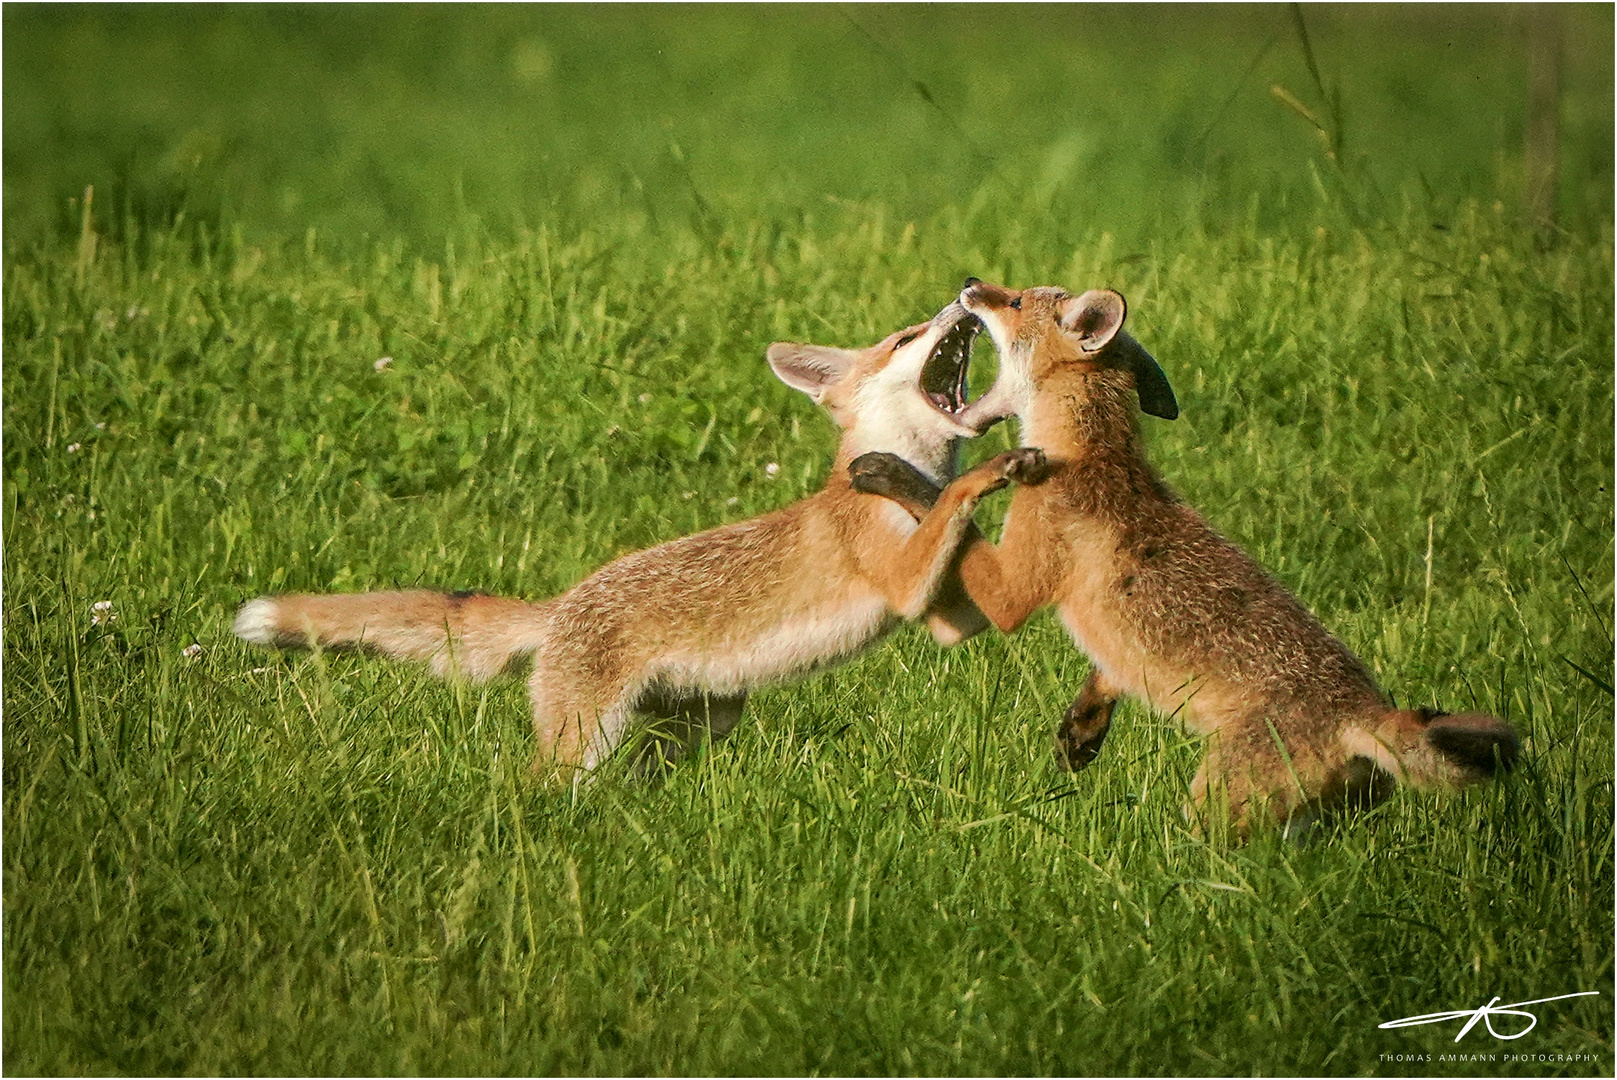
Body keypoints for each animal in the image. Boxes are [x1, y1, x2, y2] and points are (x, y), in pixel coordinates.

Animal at [234, 299, 1041, 779]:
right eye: (907, 338)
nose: (965, 295)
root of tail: (560, 607)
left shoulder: (949, 617)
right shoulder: (901, 581)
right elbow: (951, 502)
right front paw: (984, 472)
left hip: (702, 722)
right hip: (585, 742)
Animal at [853, 281, 1519, 834]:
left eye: (1014, 300)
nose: (969, 283)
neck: (1088, 453)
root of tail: (1370, 712)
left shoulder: (1011, 591)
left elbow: (946, 509)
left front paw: (892, 471)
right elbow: (1106, 676)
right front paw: (1083, 730)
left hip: (1212, 811)